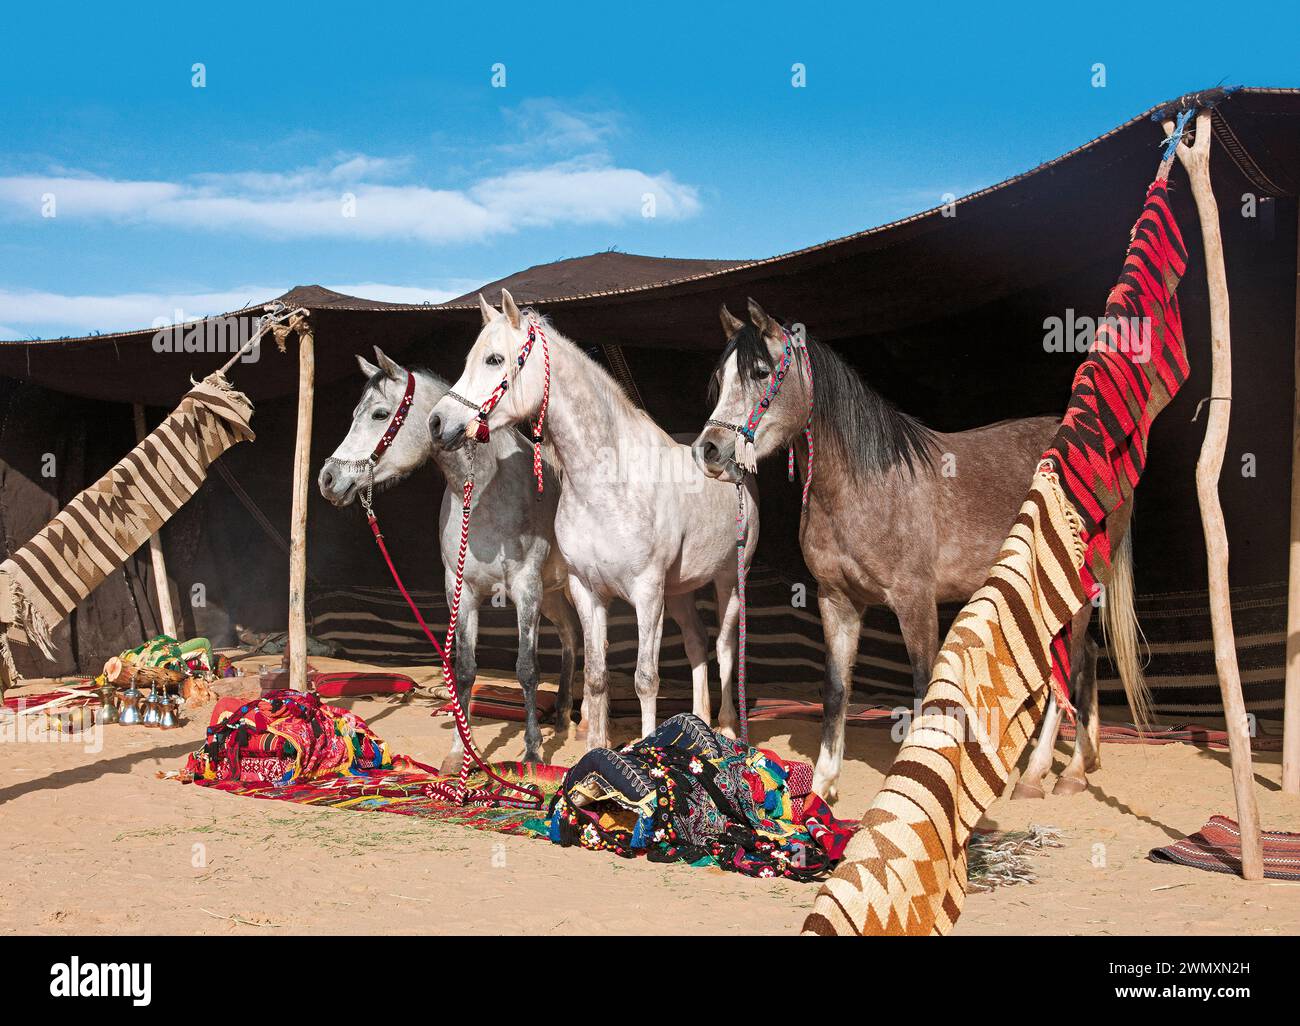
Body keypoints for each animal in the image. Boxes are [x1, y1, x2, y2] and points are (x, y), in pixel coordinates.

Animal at [318, 345, 581, 773]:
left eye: (379, 414)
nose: (328, 480)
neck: (487, 489)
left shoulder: (526, 589)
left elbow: (527, 669)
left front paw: (531, 752)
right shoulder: (463, 591)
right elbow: (465, 671)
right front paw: (461, 753)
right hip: (554, 595)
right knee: (571, 636)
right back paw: (560, 716)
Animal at [428, 290, 758, 751]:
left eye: (494, 359)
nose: (438, 422)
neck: (607, 481)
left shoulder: (646, 593)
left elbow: (645, 679)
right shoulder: (587, 590)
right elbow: (599, 677)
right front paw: (596, 748)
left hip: (730, 580)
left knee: (726, 648)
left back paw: (726, 726)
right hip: (679, 591)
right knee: (696, 643)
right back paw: (701, 720)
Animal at [691, 299, 1147, 802]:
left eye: (760, 372)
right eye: (719, 378)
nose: (709, 450)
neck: (865, 485)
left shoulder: (915, 602)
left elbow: (923, 686)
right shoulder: (837, 600)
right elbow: (835, 690)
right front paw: (823, 786)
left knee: (1069, 665)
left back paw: (1040, 774)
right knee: (1085, 656)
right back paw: (1083, 763)